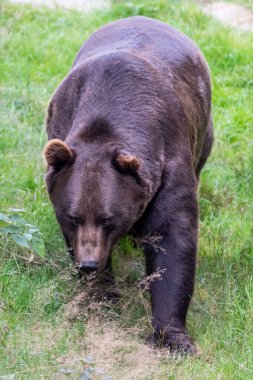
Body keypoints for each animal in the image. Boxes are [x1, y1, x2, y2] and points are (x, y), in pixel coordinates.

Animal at [43, 14, 213, 354]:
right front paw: (103, 298)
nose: (89, 264)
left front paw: (173, 337)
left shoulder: (167, 164)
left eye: (109, 218)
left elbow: (172, 241)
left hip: (204, 133)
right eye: (73, 217)